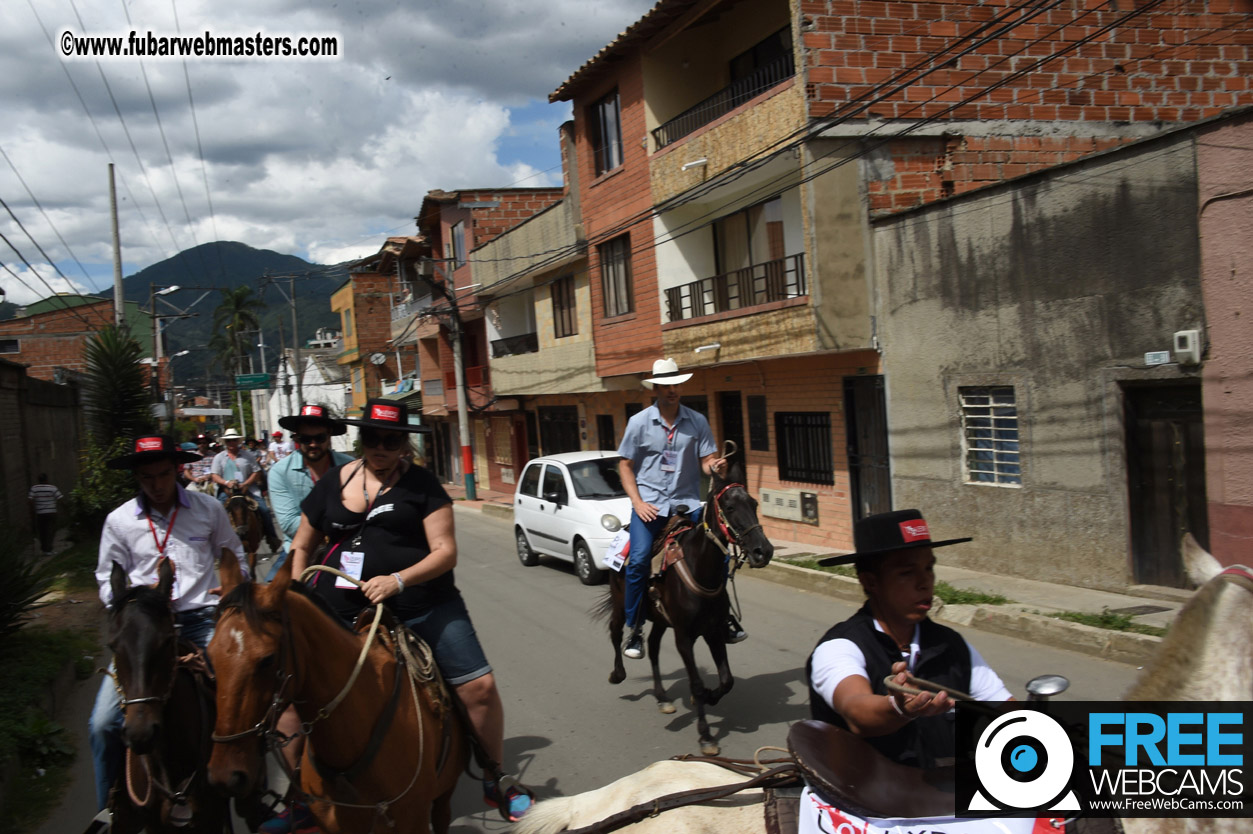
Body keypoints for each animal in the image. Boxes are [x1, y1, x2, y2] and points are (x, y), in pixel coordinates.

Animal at [598, 445, 771, 756]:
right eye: (729, 507)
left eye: (753, 503)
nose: (763, 551)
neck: (699, 567)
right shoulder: (684, 637)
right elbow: (696, 681)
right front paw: (705, 735)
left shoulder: (713, 631)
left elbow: (726, 680)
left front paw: (708, 698)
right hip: (621, 603)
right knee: (616, 632)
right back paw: (618, 671)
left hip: (660, 619)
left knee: (654, 647)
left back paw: (662, 697)